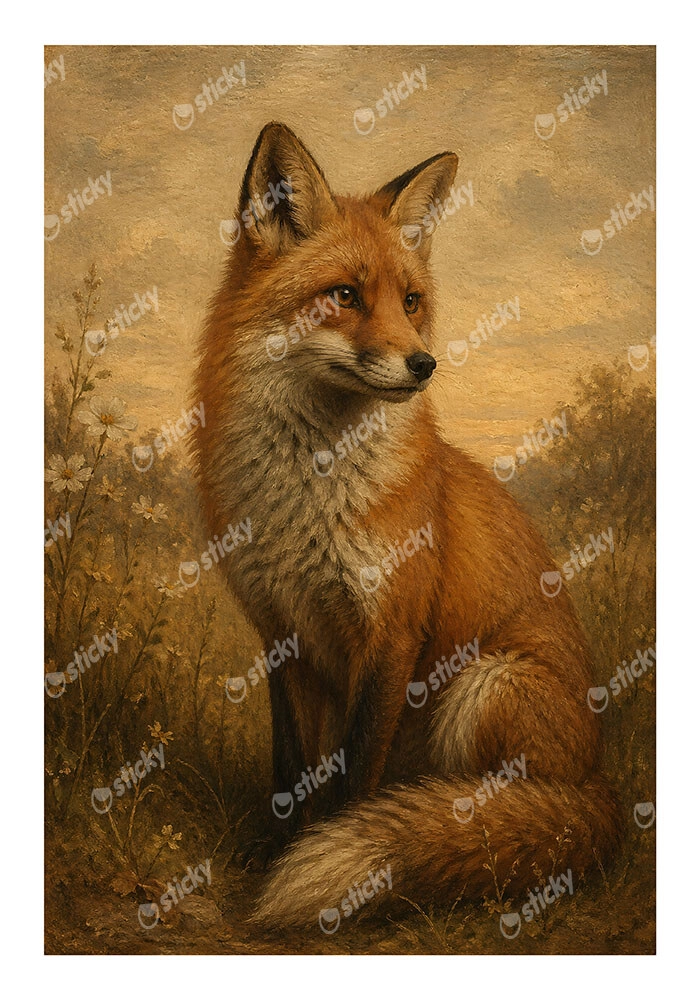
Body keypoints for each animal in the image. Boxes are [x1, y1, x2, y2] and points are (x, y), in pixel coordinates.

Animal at [192, 122, 620, 928]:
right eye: (345, 295)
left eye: (412, 300)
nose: (424, 365)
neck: (308, 498)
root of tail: (598, 788)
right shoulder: (282, 632)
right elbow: (292, 770)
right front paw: (280, 853)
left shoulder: (390, 632)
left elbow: (355, 772)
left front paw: (337, 866)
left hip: (484, 686)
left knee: (490, 810)